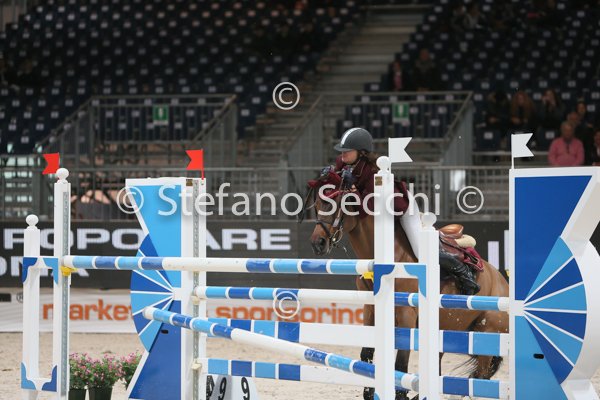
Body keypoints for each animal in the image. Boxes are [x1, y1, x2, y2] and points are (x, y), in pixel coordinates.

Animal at [302, 171, 509, 400]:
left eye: (335, 204)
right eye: (317, 204)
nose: (317, 243)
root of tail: (502, 281)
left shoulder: (406, 313)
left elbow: (400, 362)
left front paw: (398, 394)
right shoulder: (370, 309)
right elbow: (367, 352)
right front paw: (370, 392)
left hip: (487, 332)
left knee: (480, 374)